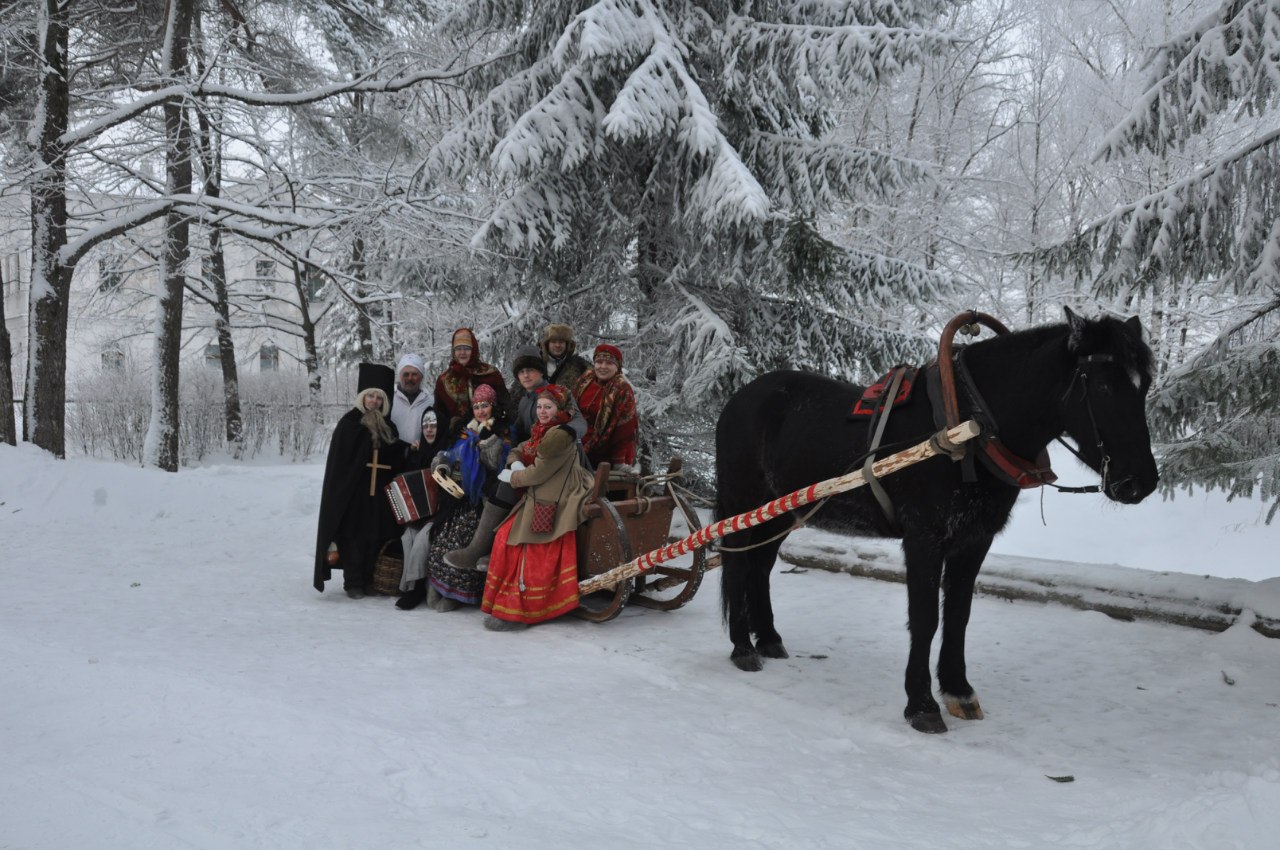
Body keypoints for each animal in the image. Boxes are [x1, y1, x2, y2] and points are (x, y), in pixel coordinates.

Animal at [721, 308, 1162, 732]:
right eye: (1103, 387)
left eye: (1144, 387)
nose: (1140, 482)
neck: (969, 427)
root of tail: (743, 393)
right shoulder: (924, 537)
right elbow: (926, 619)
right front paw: (921, 705)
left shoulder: (974, 538)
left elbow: (958, 616)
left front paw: (958, 690)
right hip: (744, 501)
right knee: (738, 563)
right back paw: (742, 647)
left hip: (782, 512)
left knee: (761, 566)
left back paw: (769, 640)